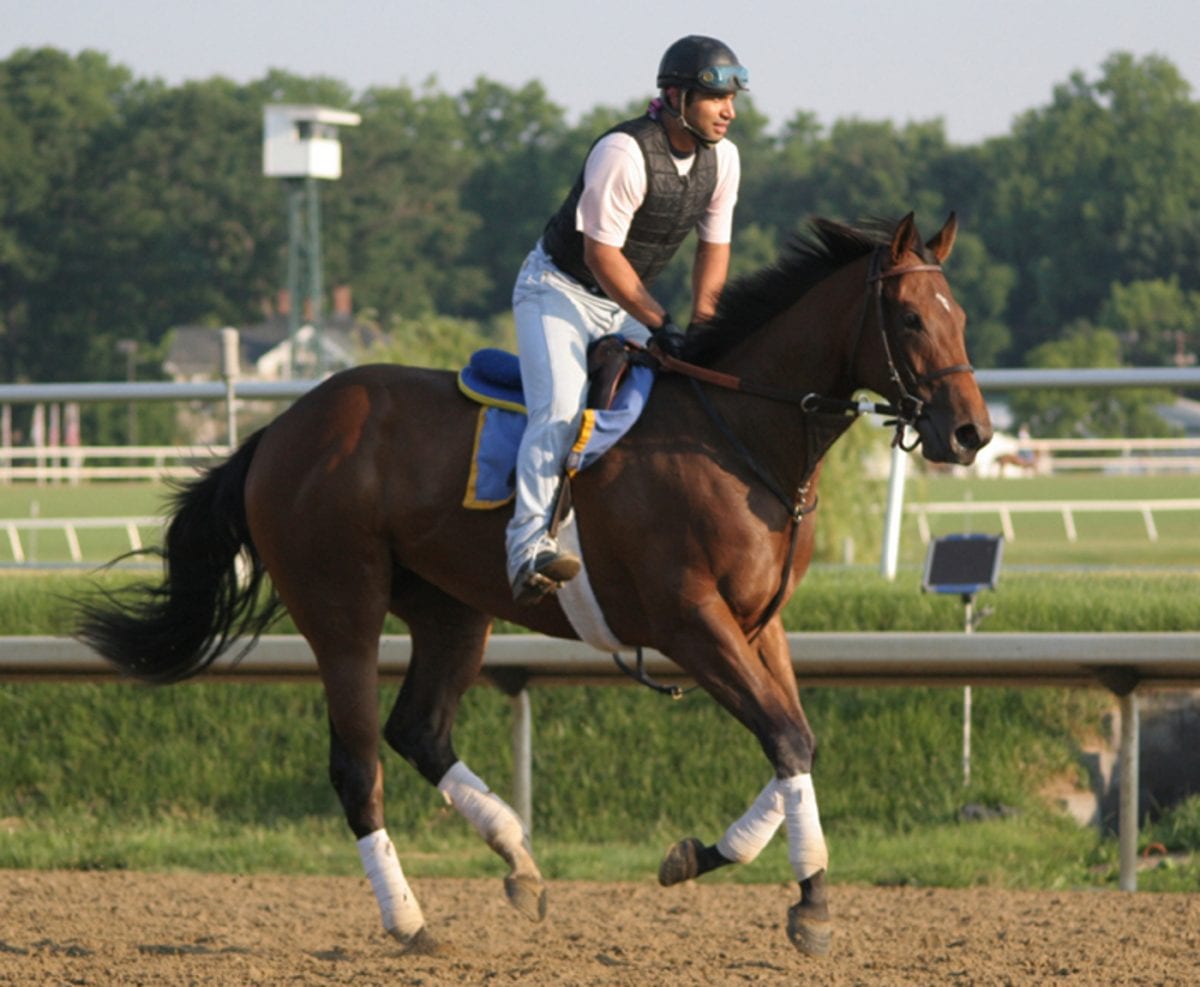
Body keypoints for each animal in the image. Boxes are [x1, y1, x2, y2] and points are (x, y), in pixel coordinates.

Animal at [77, 214, 993, 960]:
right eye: (911, 317)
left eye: (961, 314)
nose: (971, 431)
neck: (734, 435)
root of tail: (278, 430)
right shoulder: (689, 619)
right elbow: (786, 737)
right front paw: (804, 903)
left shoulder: (757, 622)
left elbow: (795, 740)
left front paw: (731, 866)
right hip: (341, 605)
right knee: (358, 761)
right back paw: (410, 921)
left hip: (451, 608)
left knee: (419, 729)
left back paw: (518, 856)